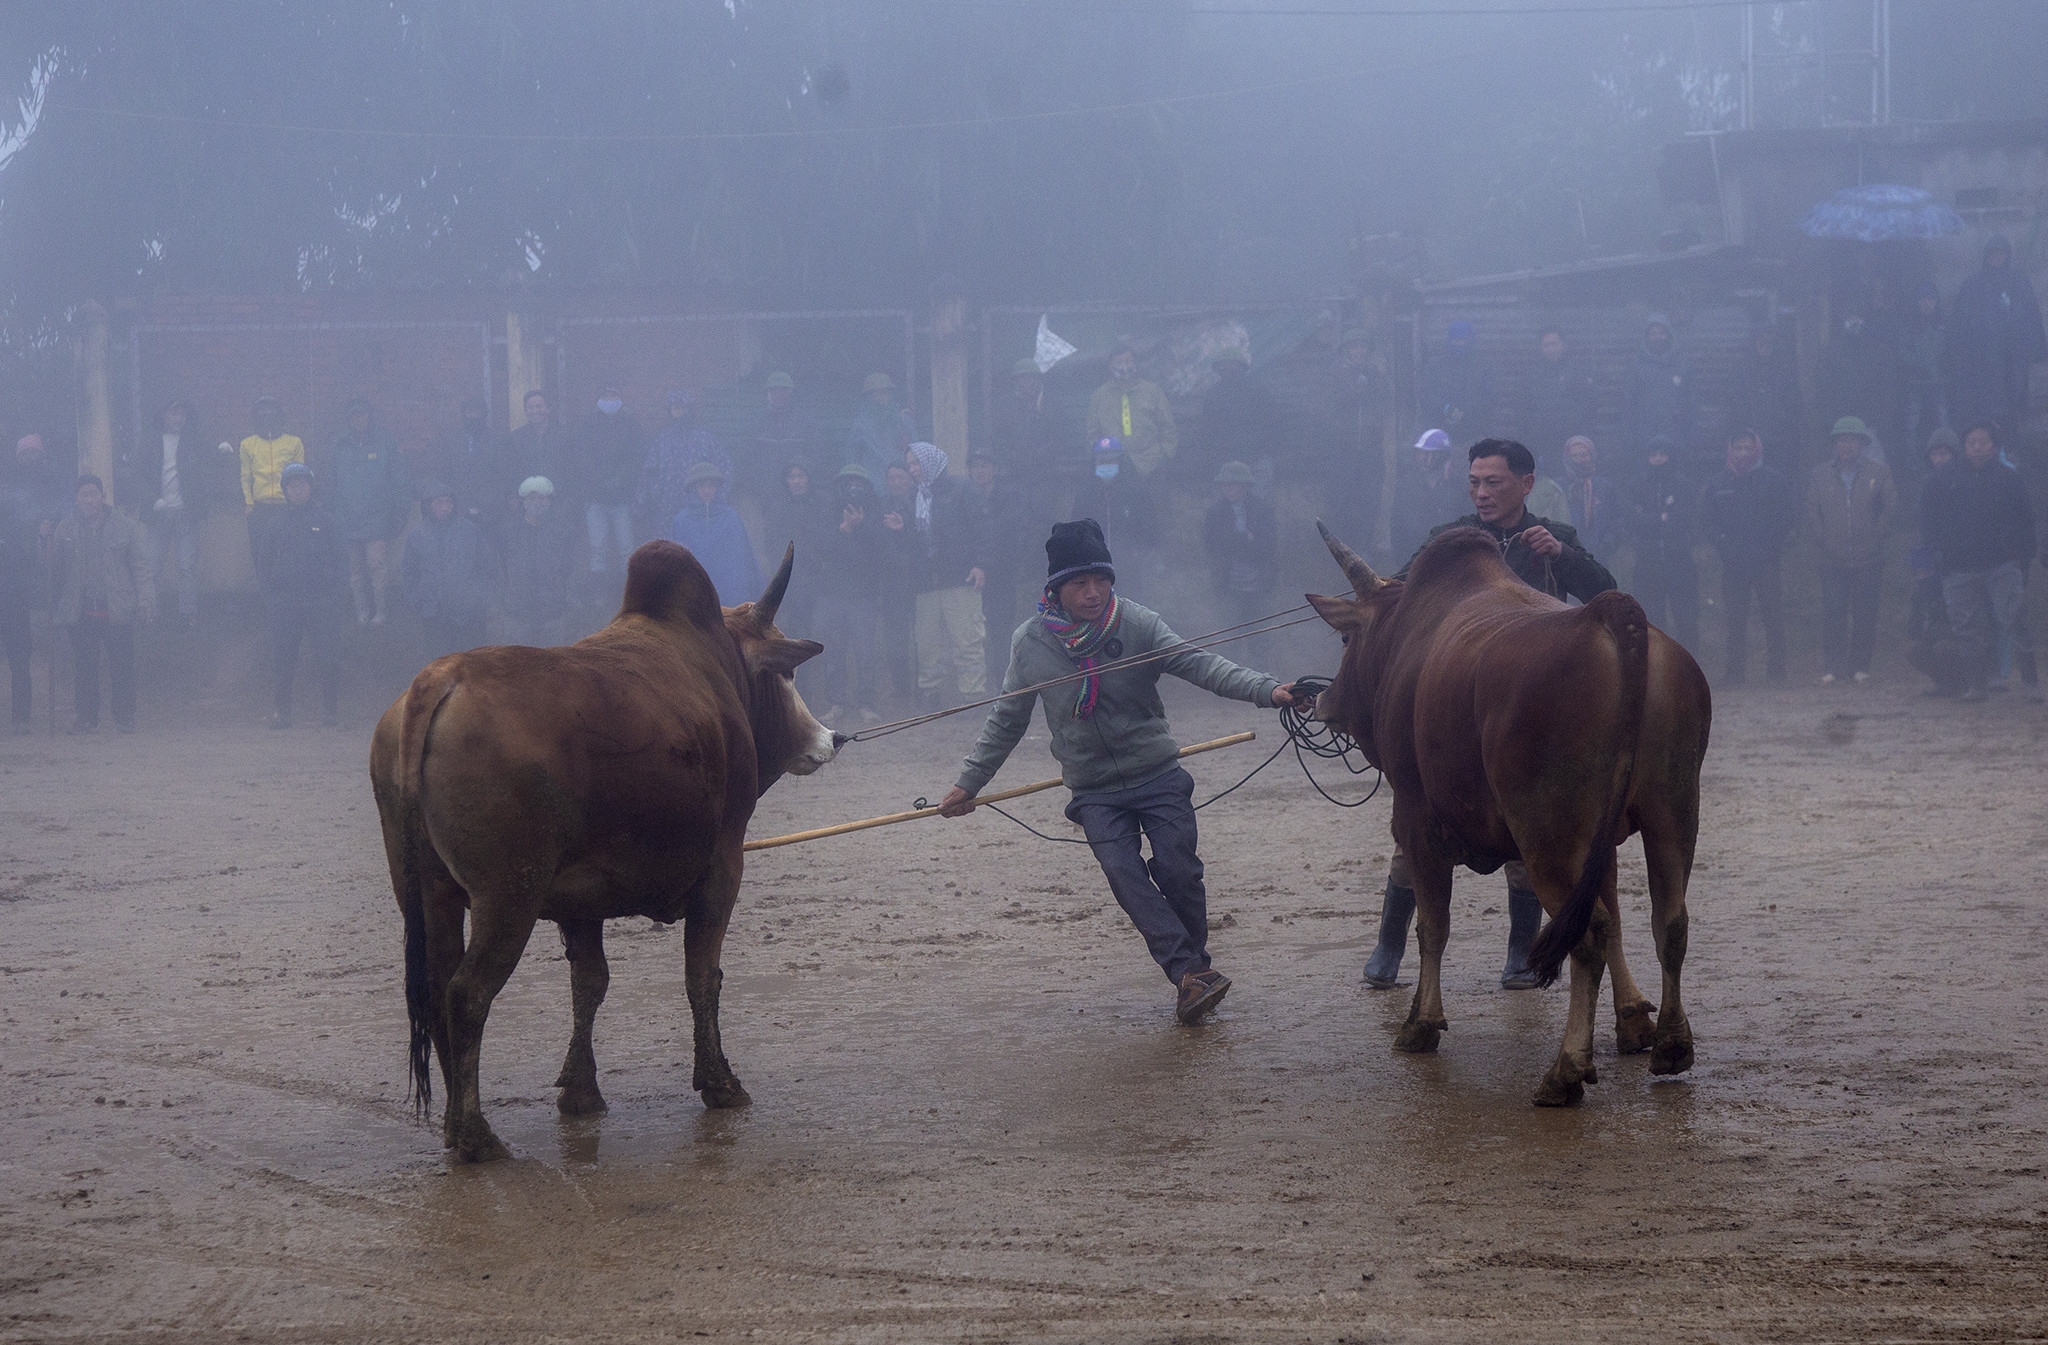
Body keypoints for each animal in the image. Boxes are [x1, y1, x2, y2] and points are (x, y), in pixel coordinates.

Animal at [370, 540, 839, 1162]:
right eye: (785, 673)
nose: (830, 738)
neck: (718, 668)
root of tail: (435, 682)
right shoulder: (723, 868)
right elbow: (703, 976)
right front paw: (719, 1083)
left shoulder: (579, 900)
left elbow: (590, 985)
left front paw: (581, 1092)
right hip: (508, 897)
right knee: (466, 994)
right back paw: (475, 1136)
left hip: (427, 893)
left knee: (434, 987)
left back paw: (452, 1126)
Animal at [1310, 522, 1712, 1105]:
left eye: (1345, 640)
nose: (1323, 702)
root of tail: (1610, 614)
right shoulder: (1605, 841)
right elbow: (1617, 916)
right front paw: (1634, 1021)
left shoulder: (1414, 817)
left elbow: (1433, 924)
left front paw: (1421, 1024)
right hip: (1672, 812)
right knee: (1668, 921)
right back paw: (1673, 1044)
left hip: (1549, 834)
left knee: (1587, 935)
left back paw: (1566, 1070)